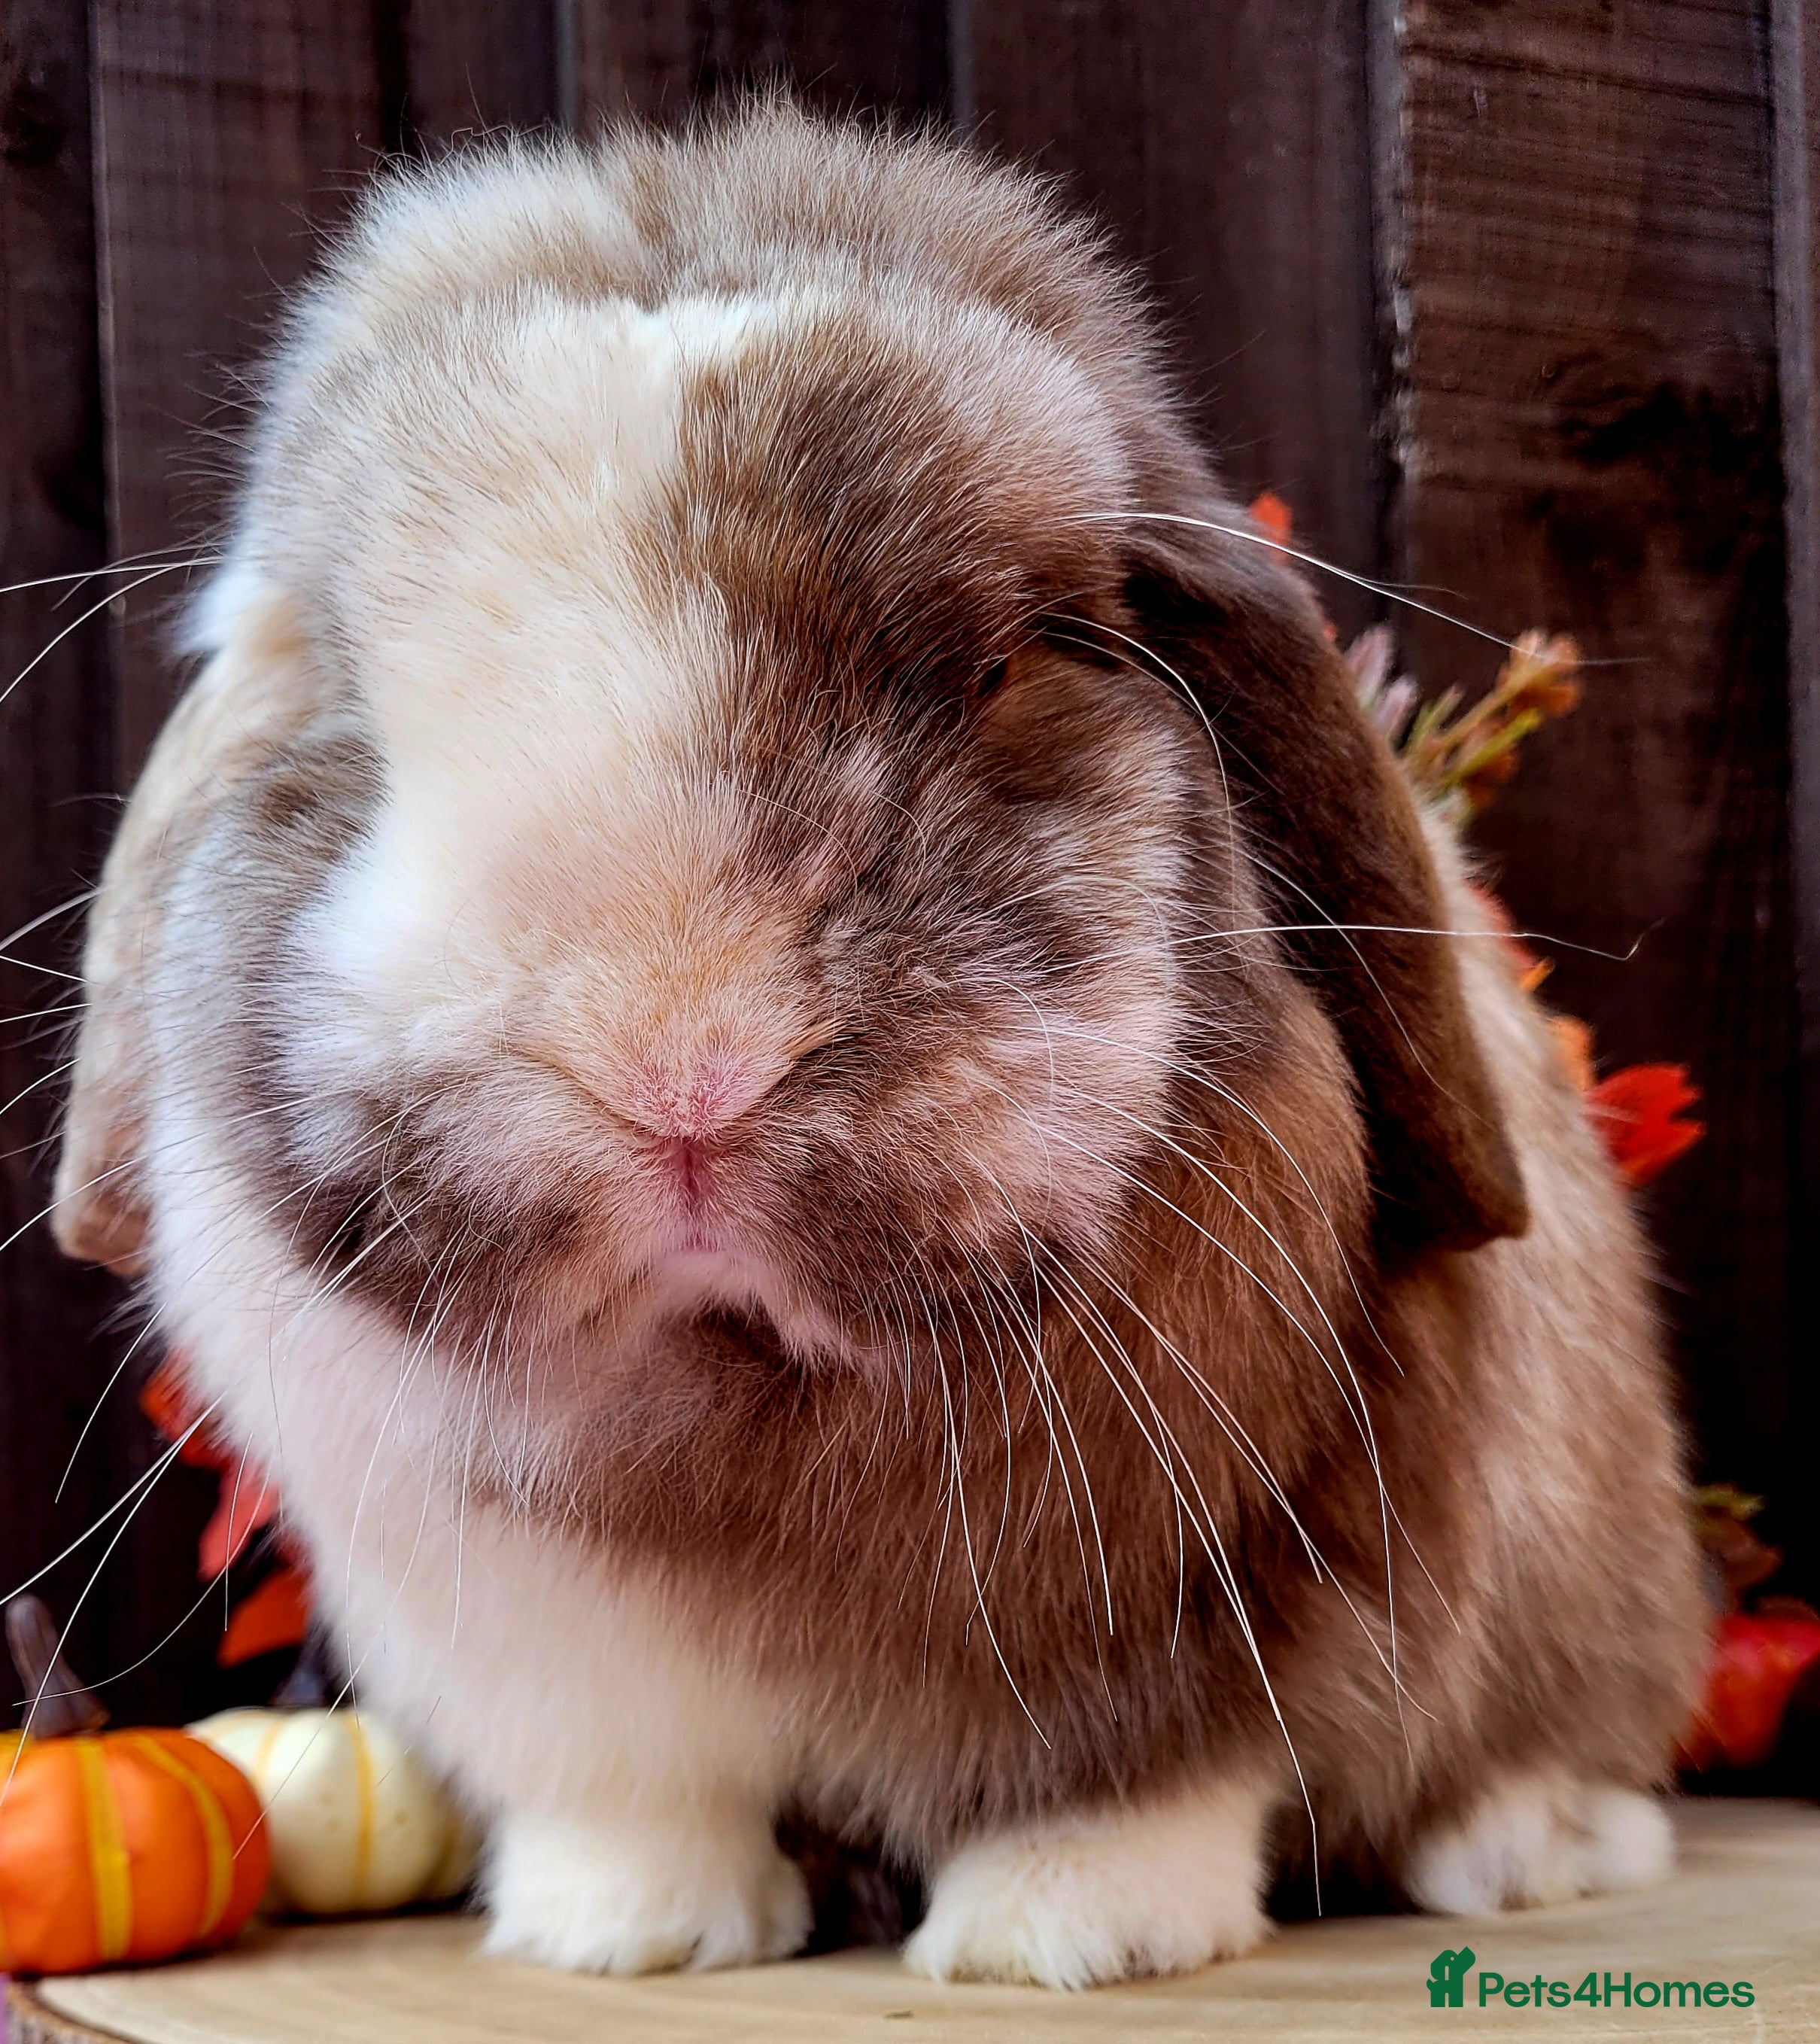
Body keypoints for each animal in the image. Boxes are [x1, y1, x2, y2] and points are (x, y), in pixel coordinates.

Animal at [52, 101, 1703, 1988]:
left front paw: (1061, 1937)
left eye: (1002, 664)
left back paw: (1522, 1847)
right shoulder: (555, 1671)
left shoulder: (1221, 1602)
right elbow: (633, 1798)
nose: (679, 1067)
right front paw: (622, 1931)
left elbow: (1137, 1781)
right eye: (355, 710)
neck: (732, 1415)